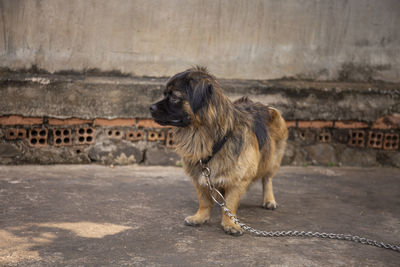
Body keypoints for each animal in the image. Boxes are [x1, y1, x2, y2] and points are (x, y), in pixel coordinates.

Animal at [151, 67, 288, 237]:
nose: (150, 108)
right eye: (165, 94)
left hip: (273, 158)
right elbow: (204, 200)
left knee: (267, 178)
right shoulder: (200, 175)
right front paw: (200, 217)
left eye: (174, 97)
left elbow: (230, 203)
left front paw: (230, 223)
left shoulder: (239, 178)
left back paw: (269, 200)